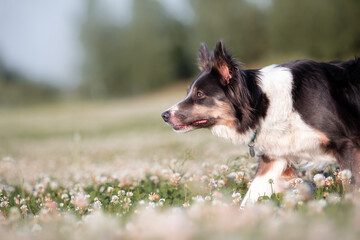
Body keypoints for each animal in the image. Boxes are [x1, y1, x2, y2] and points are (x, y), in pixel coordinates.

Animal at [163, 40, 360, 205]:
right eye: (189, 92)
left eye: (200, 94)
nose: (164, 115)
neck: (264, 104)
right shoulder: (275, 157)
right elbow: (250, 197)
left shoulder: (348, 145)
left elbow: (352, 187)